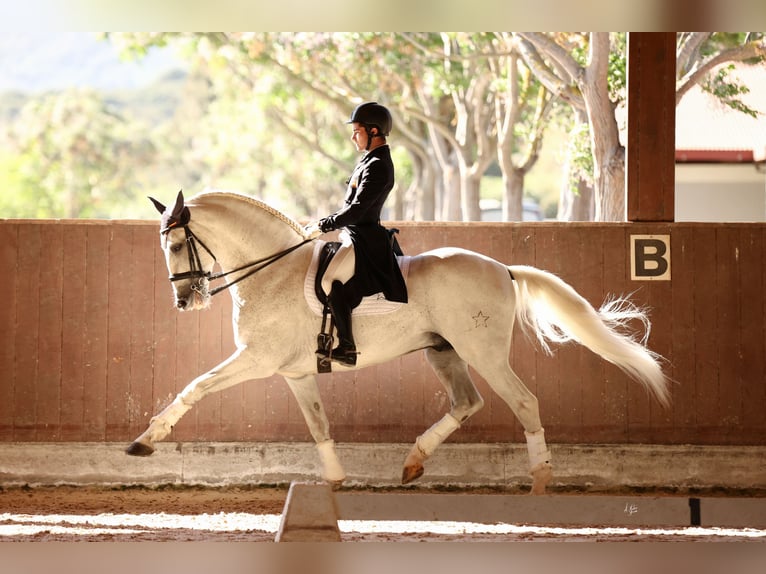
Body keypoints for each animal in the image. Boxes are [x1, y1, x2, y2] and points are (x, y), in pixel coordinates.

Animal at [127, 190, 670, 494]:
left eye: (175, 244)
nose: (185, 301)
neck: (273, 272)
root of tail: (503, 268)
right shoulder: (296, 373)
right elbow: (319, 426)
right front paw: (335, 481)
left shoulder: (256, 360)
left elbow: (195, 386)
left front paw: (145, 441)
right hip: (443, 352)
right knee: (467, 403)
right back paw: (412, 463)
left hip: (483, 352)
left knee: (523, 402)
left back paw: (540, 482)